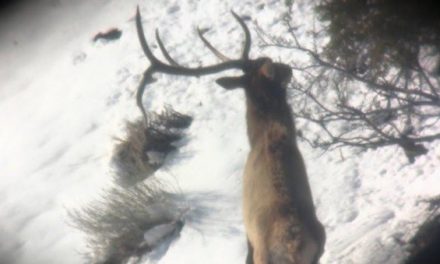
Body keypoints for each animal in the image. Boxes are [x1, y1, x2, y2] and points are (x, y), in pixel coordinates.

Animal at [136, 7, 324, 262]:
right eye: (269, 60)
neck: (262, 138)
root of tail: (293, 245)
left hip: (264, 251)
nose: (288, 67)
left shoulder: (248, 234)